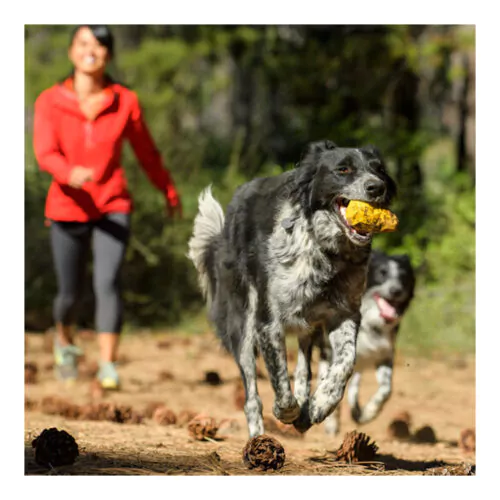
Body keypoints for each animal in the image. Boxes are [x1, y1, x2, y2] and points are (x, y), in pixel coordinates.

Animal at [189, 141, 396, 438]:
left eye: (378, 169)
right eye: (343, 169)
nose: (376, 187)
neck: (325, 252)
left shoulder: (345, 314)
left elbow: (345, 363)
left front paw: (321, 403)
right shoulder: (268, 322)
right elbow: (279, 381)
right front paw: (286, 411)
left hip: (307, 324)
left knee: (303, 366)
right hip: (242, 324)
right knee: (252, 397)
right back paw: (259, 438)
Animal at [312, 250, 414, 434]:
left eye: (403, 276)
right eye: (382, 273)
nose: (396, 290)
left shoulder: (384, 353)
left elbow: (386, 389)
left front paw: (369, 412)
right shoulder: (332, 352)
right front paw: (330, 421)